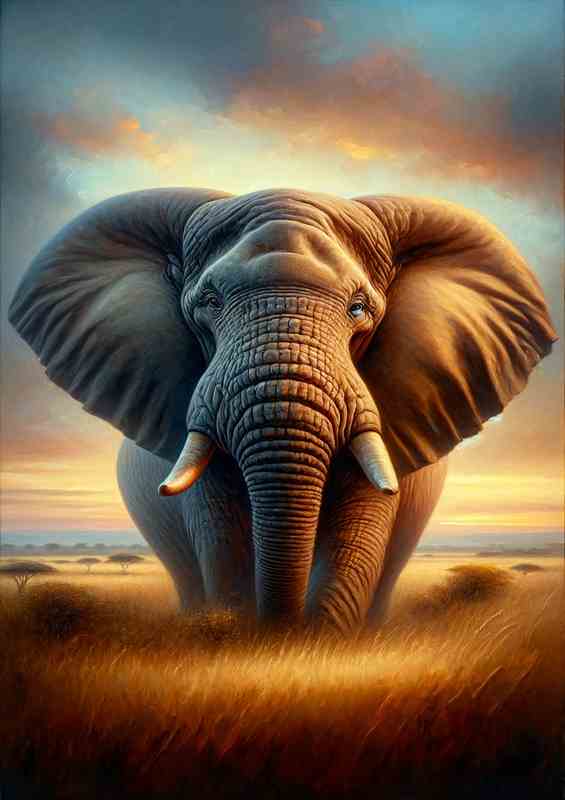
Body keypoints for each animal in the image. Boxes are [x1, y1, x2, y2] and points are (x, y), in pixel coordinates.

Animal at [9, 187, 556, 633]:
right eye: (208, 301)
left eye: (360, 309)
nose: (280, 629)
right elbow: (225, 542)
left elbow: (355, 534)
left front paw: (316, 643)